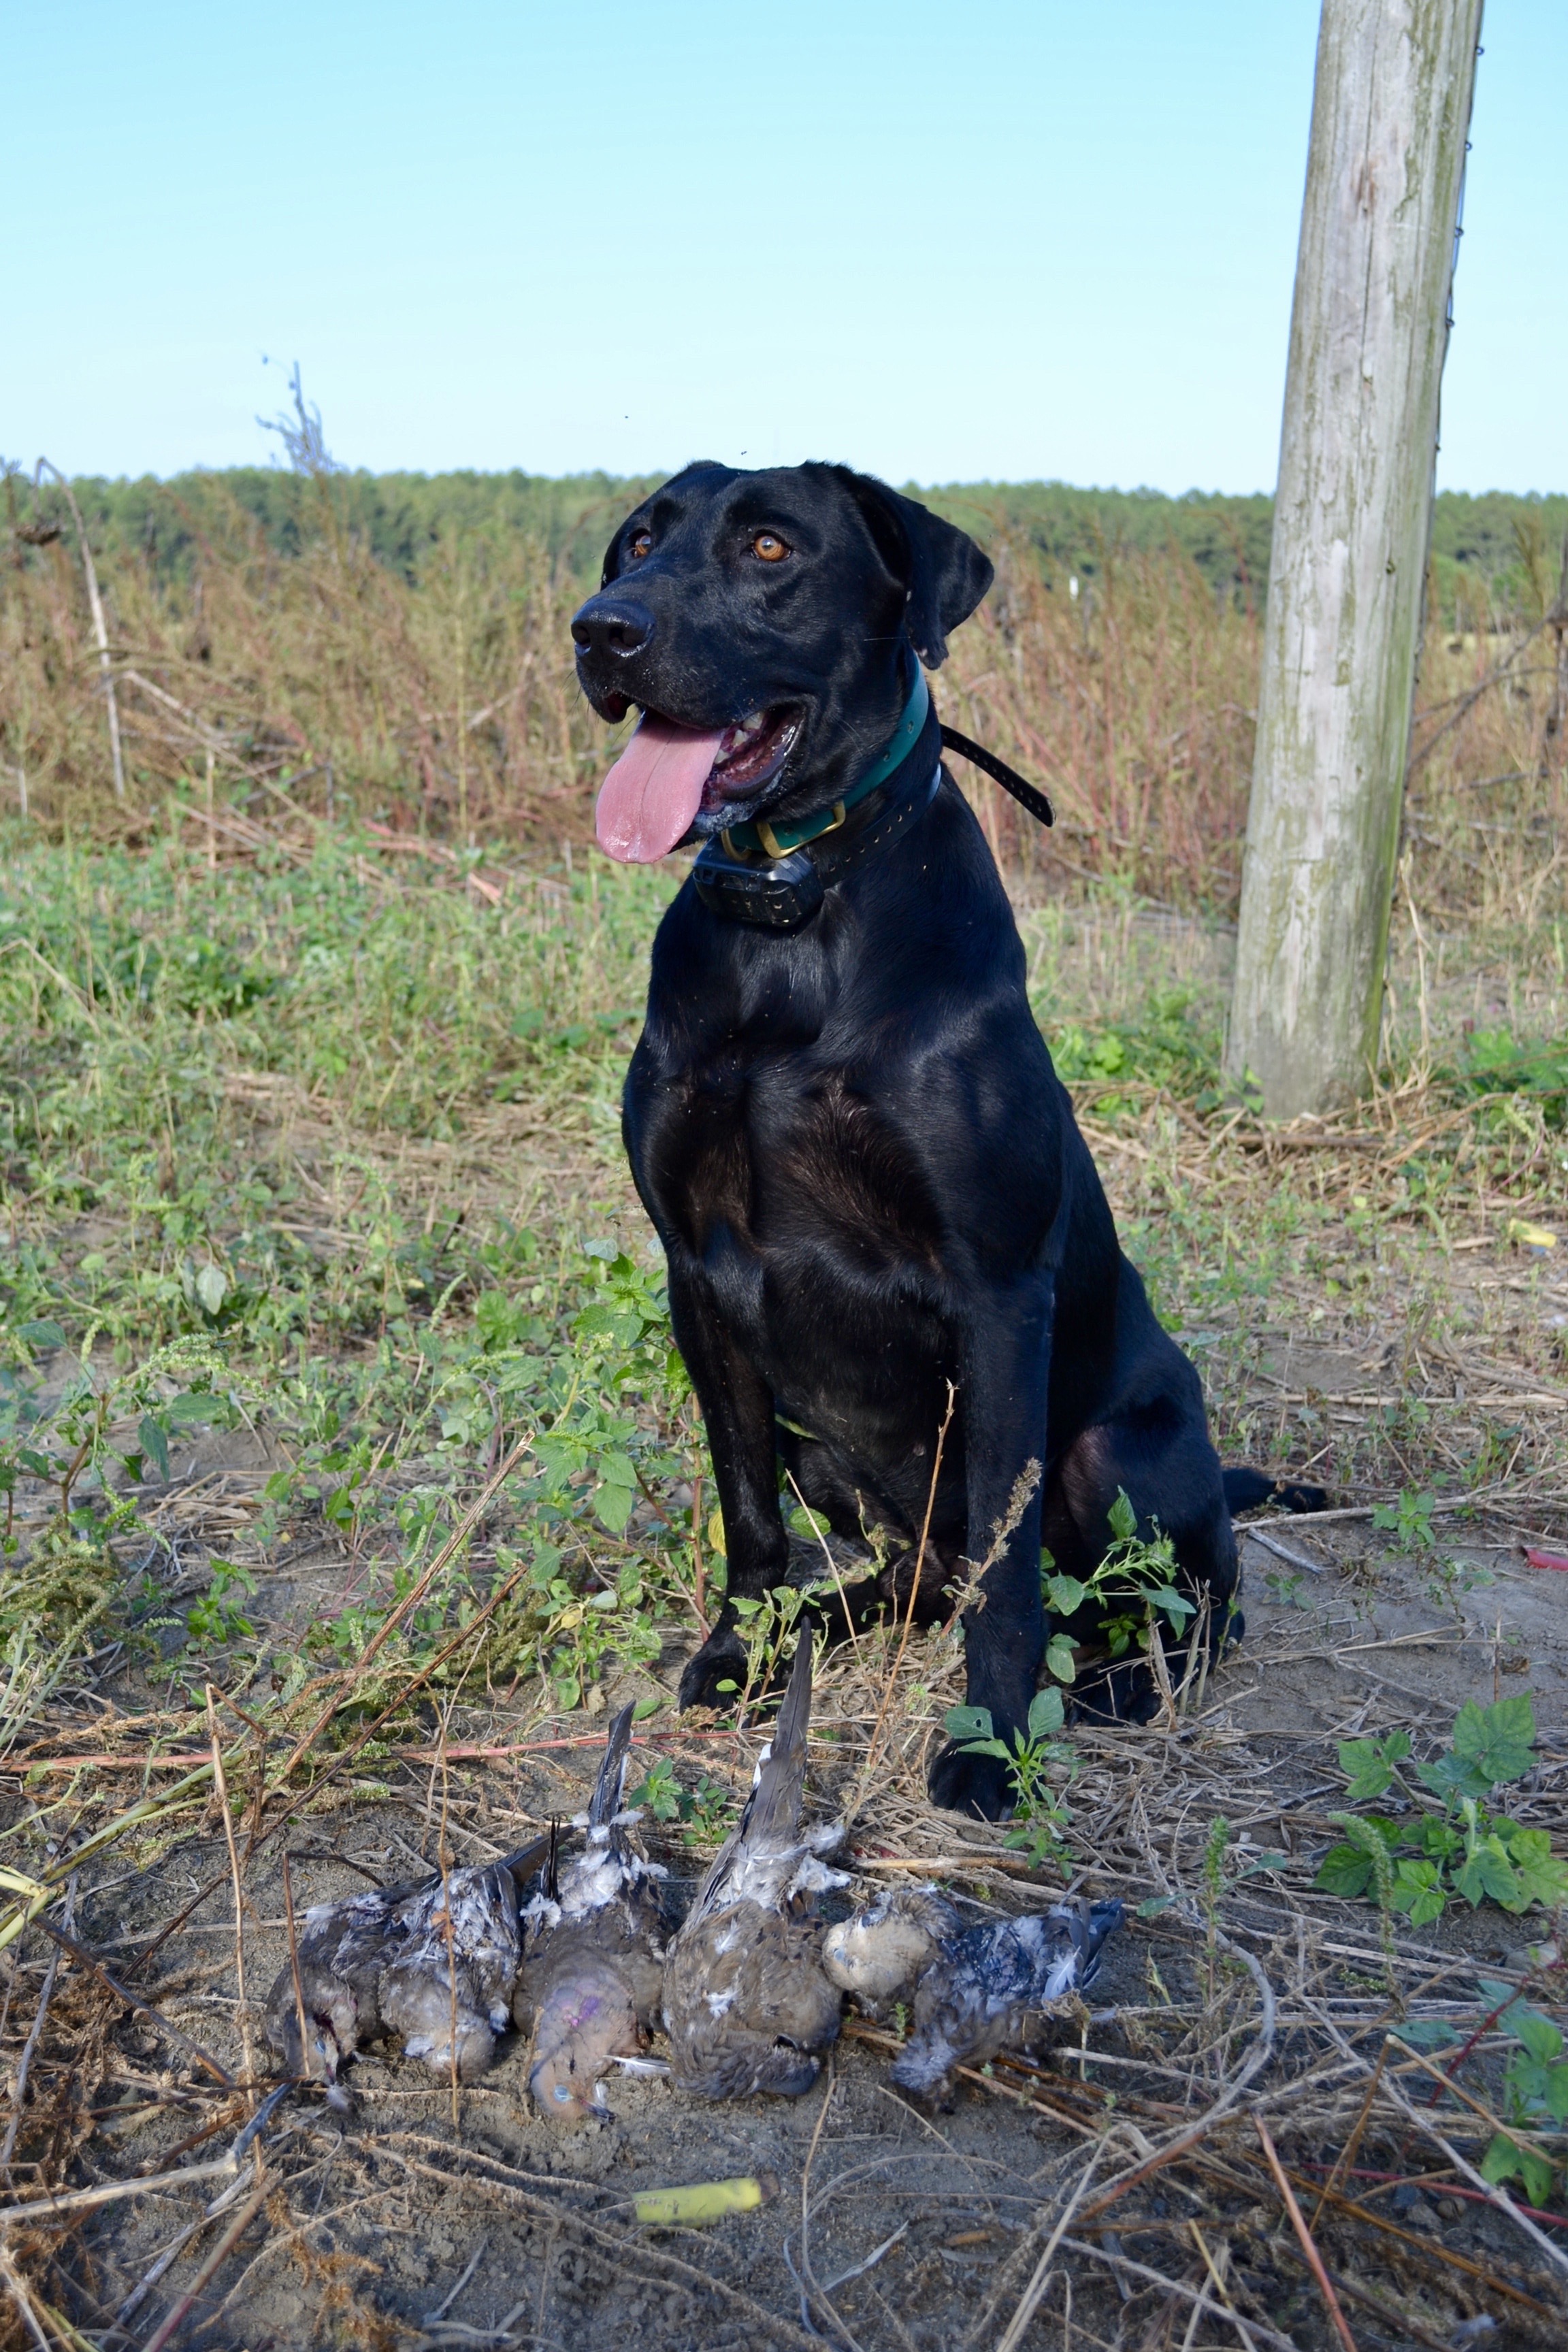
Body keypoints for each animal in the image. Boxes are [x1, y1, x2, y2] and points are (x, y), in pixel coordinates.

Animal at [571, 458, 1316, 1816]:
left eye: (770, 547)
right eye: (639, 542)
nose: (600, 630)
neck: (793, 920)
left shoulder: (997, 1295)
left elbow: (1010, 1573)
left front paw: (990, 1740)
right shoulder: (696, 1279)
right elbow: (745, 1510)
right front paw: (743, 1650)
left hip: (1118, 1454)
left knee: (1191, 1608)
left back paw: (1115, 1689)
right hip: (824, 1445)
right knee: (912, 1574)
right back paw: (835, 1618)